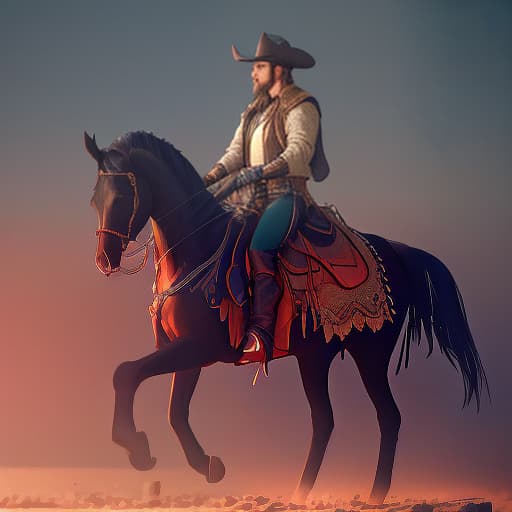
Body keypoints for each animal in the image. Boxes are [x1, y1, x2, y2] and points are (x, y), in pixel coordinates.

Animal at [86, 131, 490, 504]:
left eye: (121, 197)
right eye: (94, 199)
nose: (104, 259)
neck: (196, 250)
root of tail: (395, 249)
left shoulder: (201, 347)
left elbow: (127, 373)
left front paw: (136, 448)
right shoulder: (184, 351)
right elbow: (174, 411)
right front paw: (209, 466)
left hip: (370, 354)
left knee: (387, 416)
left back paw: (374, 494)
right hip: (314, 358)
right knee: (325, 421)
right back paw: (301, 492)